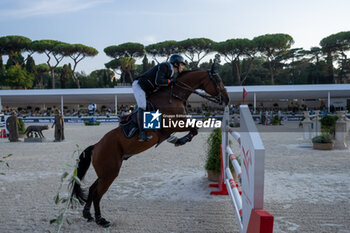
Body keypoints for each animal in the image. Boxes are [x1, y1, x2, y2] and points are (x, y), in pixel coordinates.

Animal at [71, 64, 230, 228]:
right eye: (218, 81)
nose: (227, 99)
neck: (174, 96)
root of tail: (96, 146)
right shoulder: (173, 124)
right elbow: (195, 128)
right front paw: (183, 140)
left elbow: (193, 128)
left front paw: (179, 140)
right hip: (110, 172)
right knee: (98, 194)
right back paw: (101, 220)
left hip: (106, 172)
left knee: (92, 189)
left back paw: (87, 214)